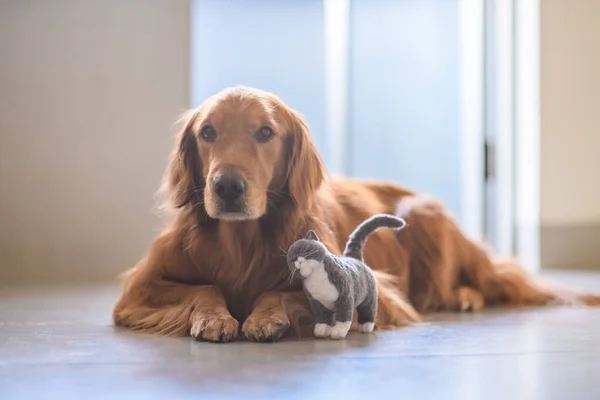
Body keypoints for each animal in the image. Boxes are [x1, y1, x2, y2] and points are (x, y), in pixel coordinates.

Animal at [113, 86, 600, 342]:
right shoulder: (139, 287)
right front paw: (215, 316)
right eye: (208, 132)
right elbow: (205, 286)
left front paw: (265, 315)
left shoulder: (379, 291)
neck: (241, 242)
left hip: (421, 214)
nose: (227, 187)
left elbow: (281, 292)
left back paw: (463, 296)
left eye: (266, 132)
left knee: (468, 282)